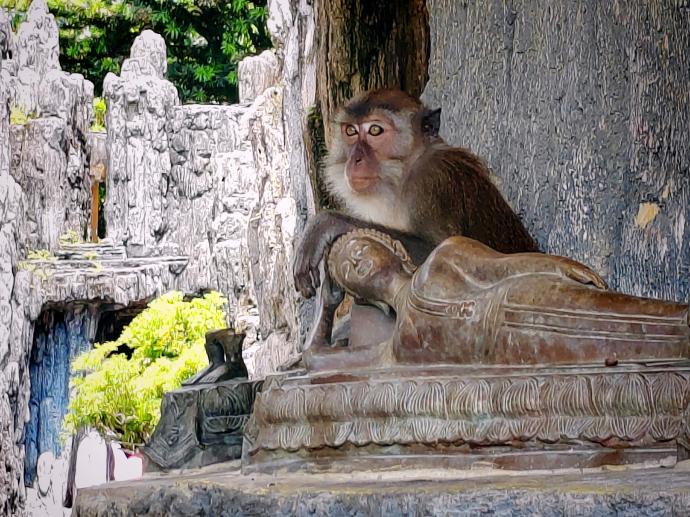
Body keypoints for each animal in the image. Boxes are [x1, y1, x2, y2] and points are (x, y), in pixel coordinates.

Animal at [292, 87, 540, 346]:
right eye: (351, 131)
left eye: (375, 130)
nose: (355, 159)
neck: (404, 175)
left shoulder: (433, 183)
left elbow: (440, 251)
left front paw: (325, 224)